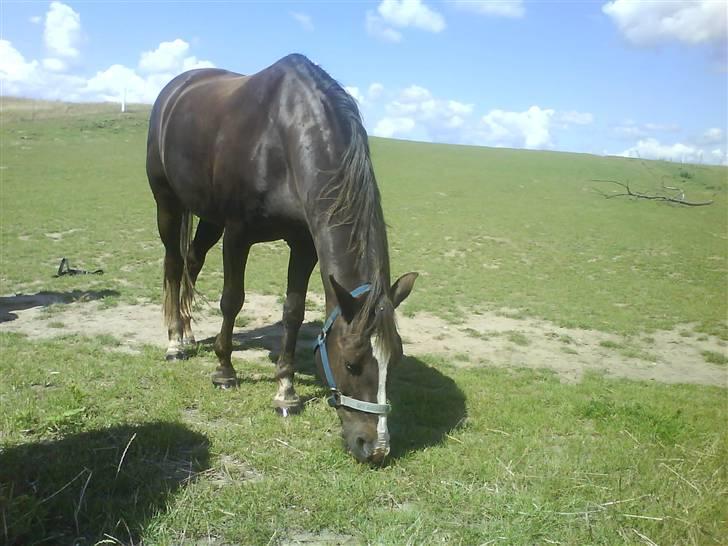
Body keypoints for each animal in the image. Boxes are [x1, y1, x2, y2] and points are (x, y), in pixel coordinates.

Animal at [146, 52, 418, 464]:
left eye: (396, 359)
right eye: (351, 363)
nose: (376, 448)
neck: (281, 138)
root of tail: (175, 89)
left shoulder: (303, 244)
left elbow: (293, 312)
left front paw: (285, 392)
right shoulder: (237, 234)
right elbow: (232, 301)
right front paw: (224, 372)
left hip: (208, 217)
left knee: (192, 262)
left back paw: (190, 333)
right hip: (169, 203)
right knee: (175, 266)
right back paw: (175, 341)